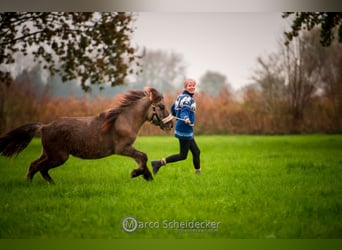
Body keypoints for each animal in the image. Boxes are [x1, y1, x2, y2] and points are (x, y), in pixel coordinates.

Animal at [0, 87, 174, 183]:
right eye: (161, 106)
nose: (171, 125)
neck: (123, 120)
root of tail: (44, 127)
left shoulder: (128, 148)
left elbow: (141, 159)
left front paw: (146, 176)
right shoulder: (122, 148)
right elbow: (143, 157)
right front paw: (136, 173)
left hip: (49, 154)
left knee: (35, 165)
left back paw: (46, 184)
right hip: (58, 157)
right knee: (38, 167)